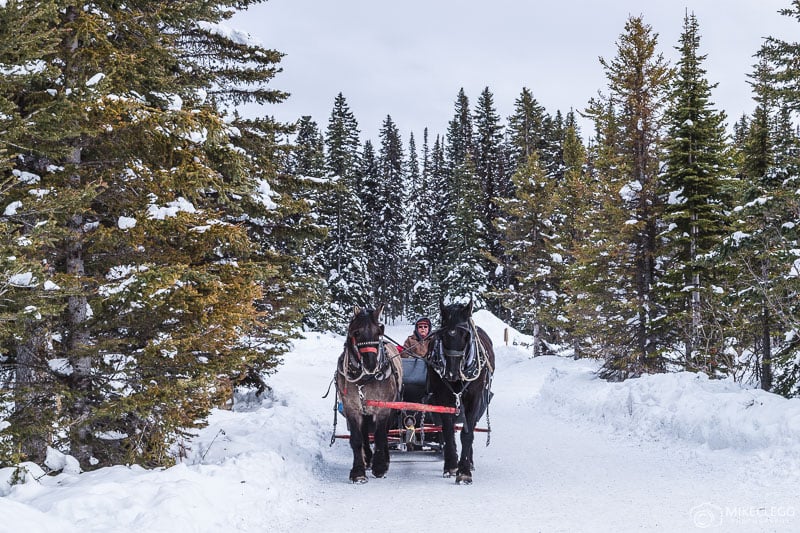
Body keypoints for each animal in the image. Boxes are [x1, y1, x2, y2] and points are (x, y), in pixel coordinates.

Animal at [334, 304, 404, 482]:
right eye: (356, 332)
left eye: (379, 331)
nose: (371, 364)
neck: (364, 379)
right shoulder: (352, 408)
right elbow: (357, 439)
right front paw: (358, 471)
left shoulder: (383, 409)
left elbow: (380, 436)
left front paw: (380, 467)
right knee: (365, 433)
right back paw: (367, 458)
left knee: (384, 433)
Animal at [424, 298, 494, 484]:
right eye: (442, 335)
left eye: (465, 335)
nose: (452, 373)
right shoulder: (443, 399)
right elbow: (448, 432)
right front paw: (451, 466)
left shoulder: (475, 399)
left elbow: (467, 434)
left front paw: (464, 471)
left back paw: (470, 462)